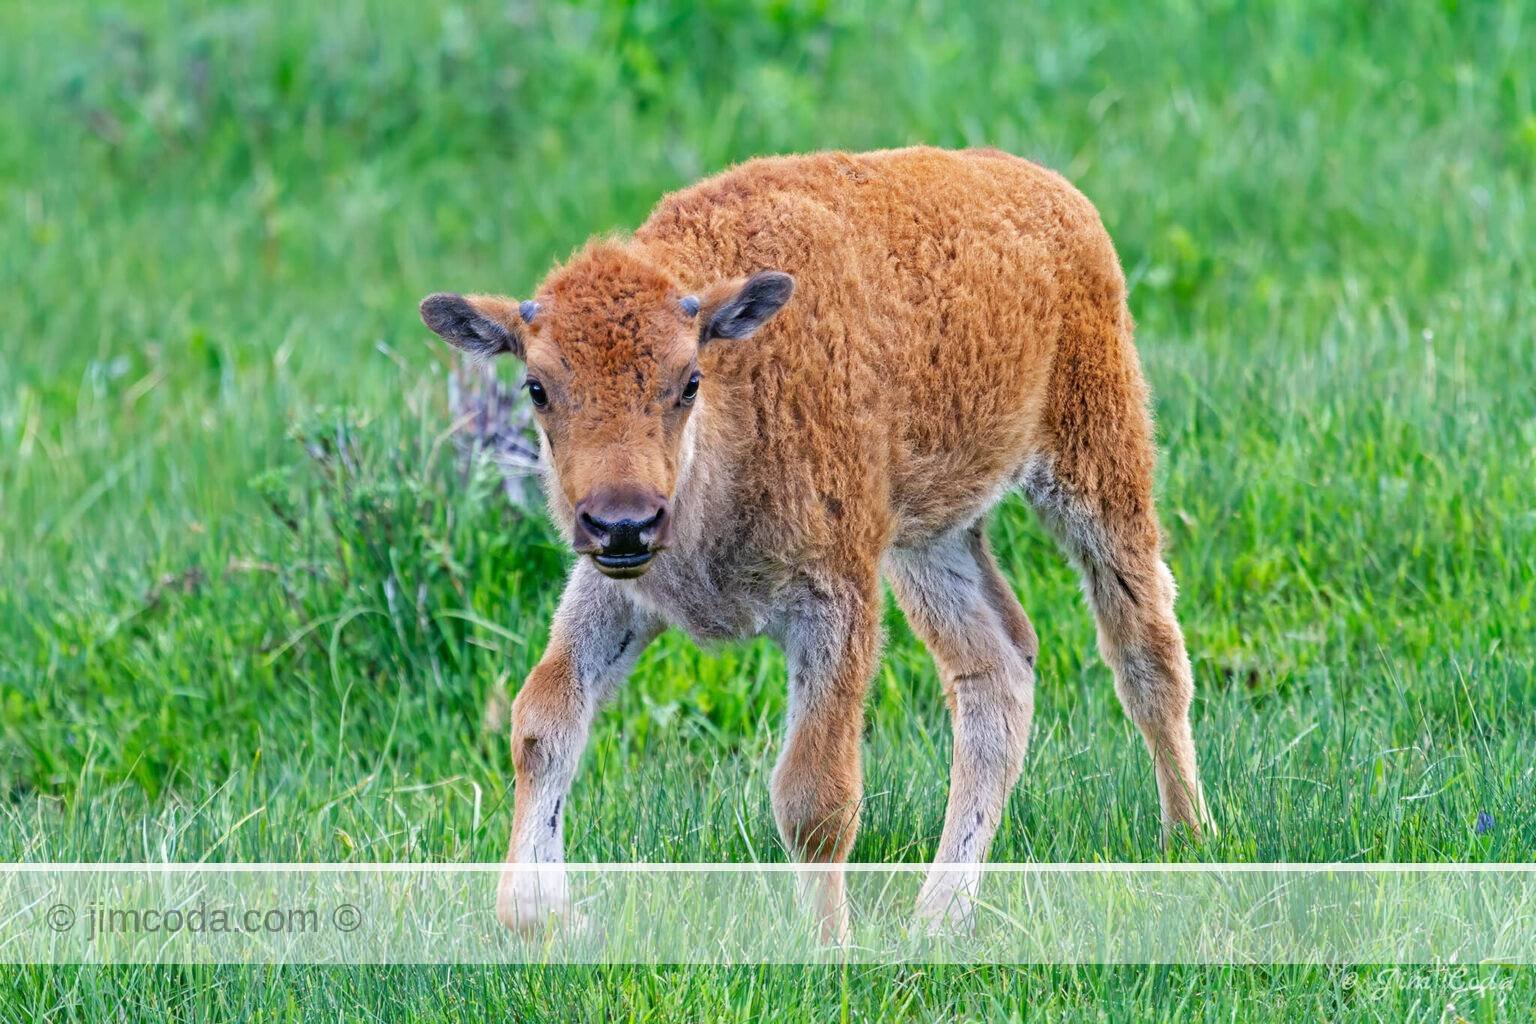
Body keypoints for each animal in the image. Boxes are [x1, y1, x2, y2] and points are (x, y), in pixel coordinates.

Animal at [419, 146, 1213, 938]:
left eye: (688, 380)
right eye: (537, 387)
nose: (623, 523)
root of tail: (1049, 191)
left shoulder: (833, 604)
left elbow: (814, 797)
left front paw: (826, 945)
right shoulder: (620, 592)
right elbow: (543, 720)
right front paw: (541, 912)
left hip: (1095, 464)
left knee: (1146, 649)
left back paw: (1189, 842)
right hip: (930, 541)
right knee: (997, 672)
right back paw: (939, 914)